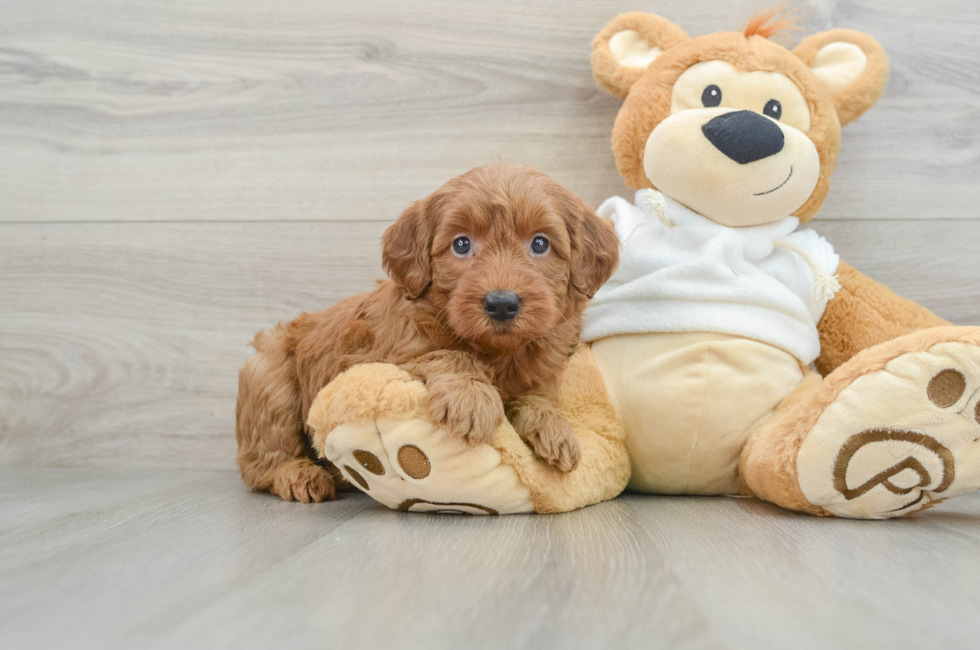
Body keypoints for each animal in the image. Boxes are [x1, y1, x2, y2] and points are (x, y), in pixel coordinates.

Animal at [236, 162, 616, 502]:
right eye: (461, 244)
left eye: (539, 244)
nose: (501, 304)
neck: (496, 351)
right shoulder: (384, 358)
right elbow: (448, 354)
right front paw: (471, 398)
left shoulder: (542, 371)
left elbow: (539, 395)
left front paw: (554, 429)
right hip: (268, 384)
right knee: (261, 462)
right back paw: (299, 474)